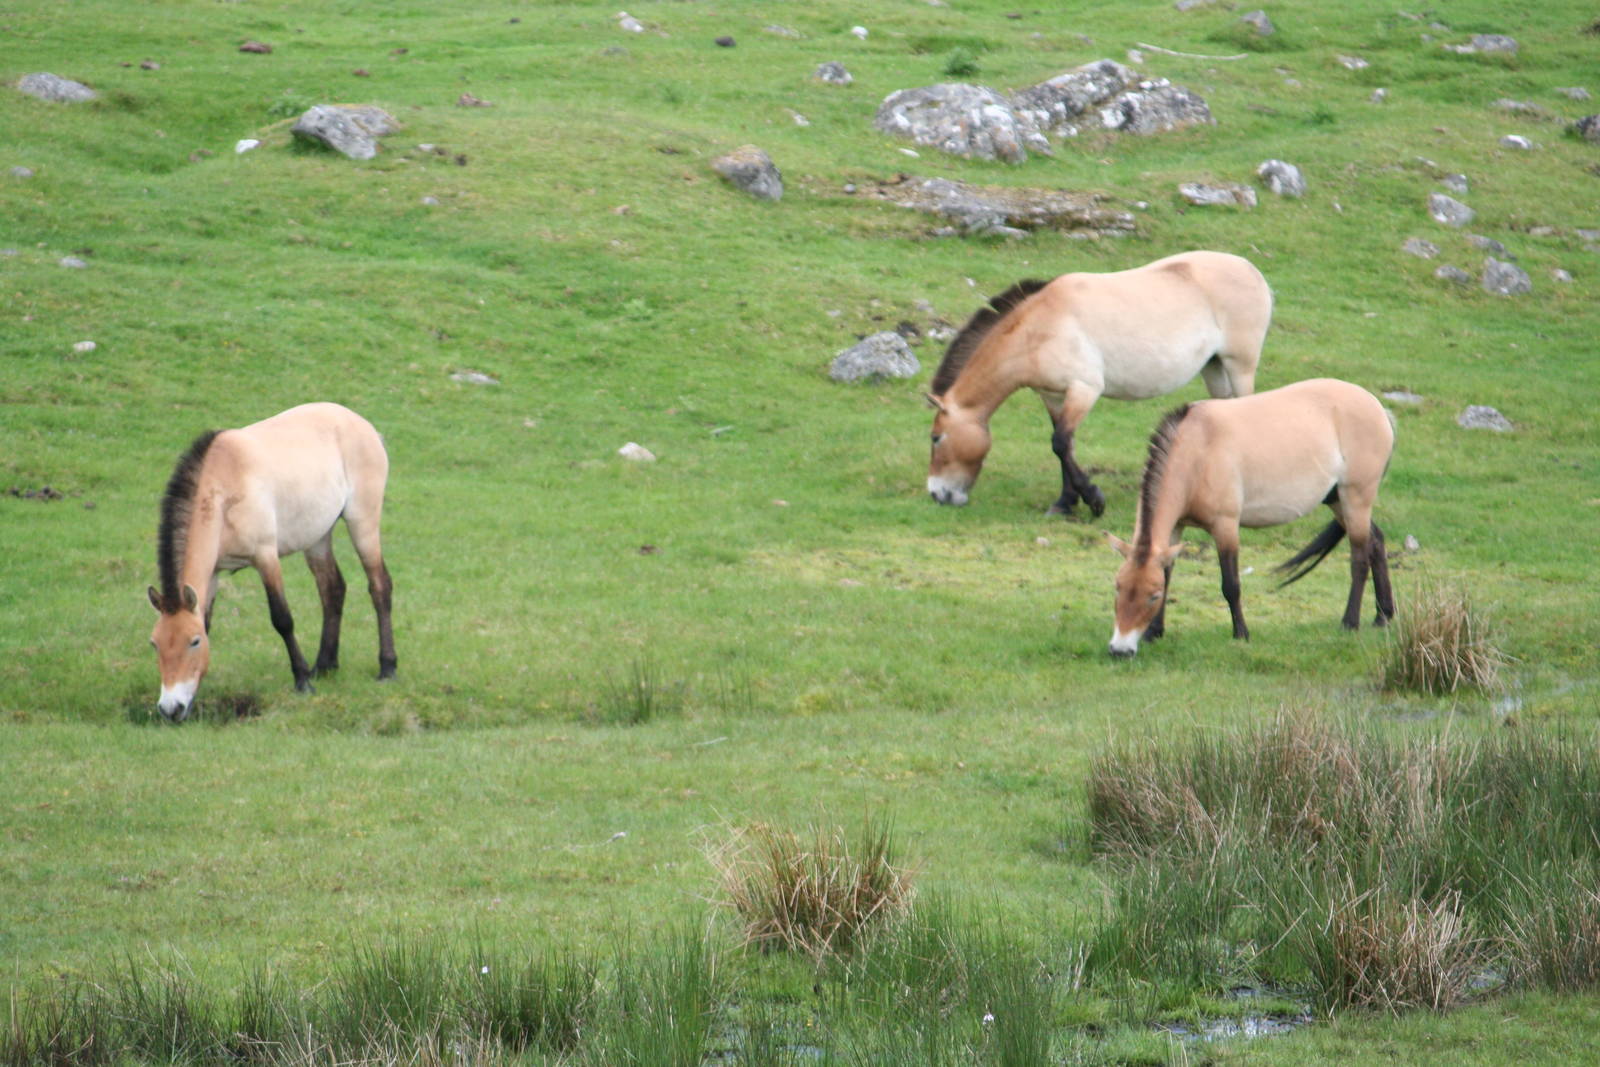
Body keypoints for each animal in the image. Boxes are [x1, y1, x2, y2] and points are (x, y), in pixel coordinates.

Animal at [147, 402, 396, 720]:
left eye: (194, 641)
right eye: (155, 644)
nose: (170, 708)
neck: (224, 491)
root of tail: (363, 425)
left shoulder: (266, 557)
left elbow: (282, 618)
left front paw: (302, 681)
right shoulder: (213, 573)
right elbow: (208, 620)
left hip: (362, 522)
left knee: (379, 586)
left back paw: (387, 667)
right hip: (317, 536)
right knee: (332, 590)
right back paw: (324, 666)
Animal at [925, 250, 1273, 515]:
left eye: (936, 437)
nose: (936, 494)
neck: (1041, 326)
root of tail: (1253, 271)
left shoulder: (1085, 390)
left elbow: (1060, 442)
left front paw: (1094, 500)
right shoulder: (1053, 396)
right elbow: (1064, 445)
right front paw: (1065, 503)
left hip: (1239, 366)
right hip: (1214, 368)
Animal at [1105, 378, 1396, 658]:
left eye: (1152, 597)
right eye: (1118, 587)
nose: (1120, 650)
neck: (1197, 450)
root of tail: (1379, 409)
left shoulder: (1225, 527)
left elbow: (1231, 585)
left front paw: (1241, 634)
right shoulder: (1176, 528)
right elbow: (1168, 573)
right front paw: (1155, 633)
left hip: (1355, 498)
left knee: (1360, 559)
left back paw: (1350, 623)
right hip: (1336, 501)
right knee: (1376, 542)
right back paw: (1383, 616)